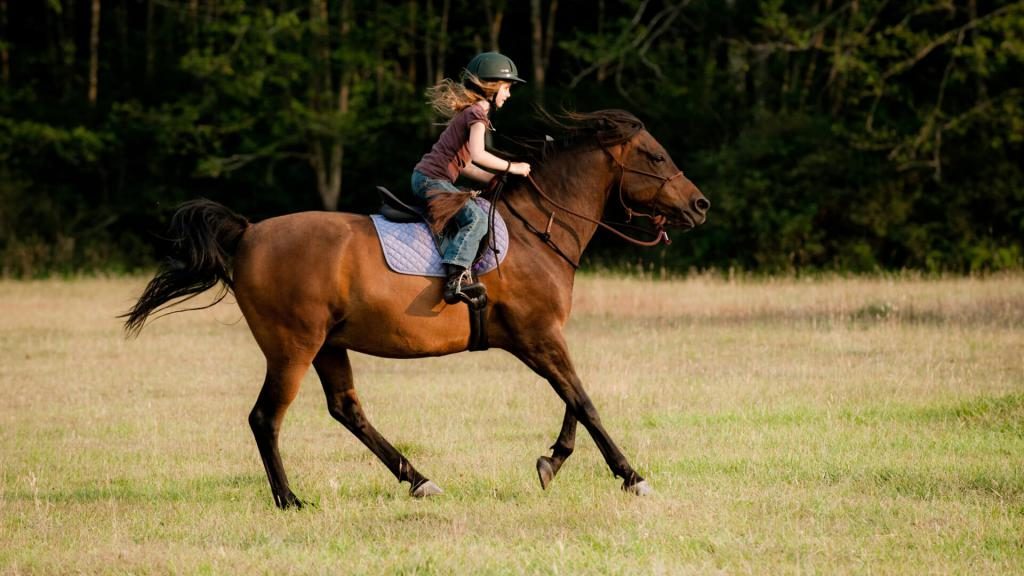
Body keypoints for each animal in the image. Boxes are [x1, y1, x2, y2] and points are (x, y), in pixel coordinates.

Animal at [123, 111, 708, 506]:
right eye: (656, 157)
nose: (700, 205)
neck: (536, 232)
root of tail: (246, 234)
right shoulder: (538, 336)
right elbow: (584, 402)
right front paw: (631, 476)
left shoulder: (542, 337)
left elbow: (573, 400)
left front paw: (552, 461)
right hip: (293, 347)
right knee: (266, 418)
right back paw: (290, 500)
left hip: (328, 345)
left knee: (347, 410)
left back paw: (419, 479)